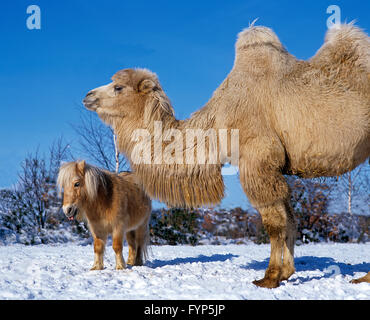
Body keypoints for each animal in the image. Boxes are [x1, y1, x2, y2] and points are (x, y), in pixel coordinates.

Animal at [83, 23, 370, 288]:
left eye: (118, 87)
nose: (88, 95)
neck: (218, 120)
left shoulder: (257, 159)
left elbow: (274, 222)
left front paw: (270, 277)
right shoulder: (272, 168)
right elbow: (289, 218)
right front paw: (286, 273)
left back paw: (362, 278)